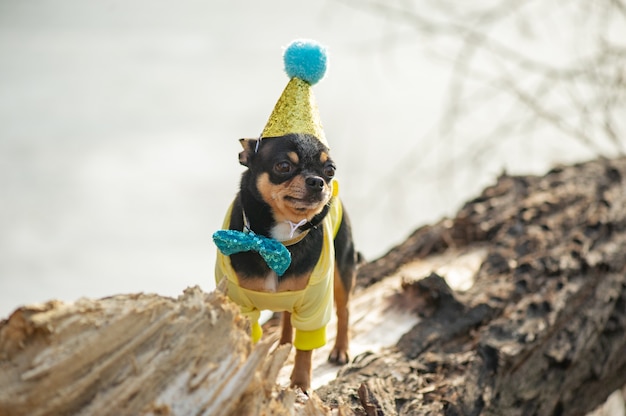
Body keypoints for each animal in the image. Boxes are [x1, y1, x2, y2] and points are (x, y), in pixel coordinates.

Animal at [213, 132, 356, 392]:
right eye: (283, 166)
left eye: (330, 170)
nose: (317, 181)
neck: (279, 241)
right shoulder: (241, 306)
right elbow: (249, 342)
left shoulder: (314, 306)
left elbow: (305, 350)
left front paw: (300, 384)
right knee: (288, 318)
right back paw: (283, 345)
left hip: (342, 271)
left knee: (344, 310)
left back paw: (340, 350)